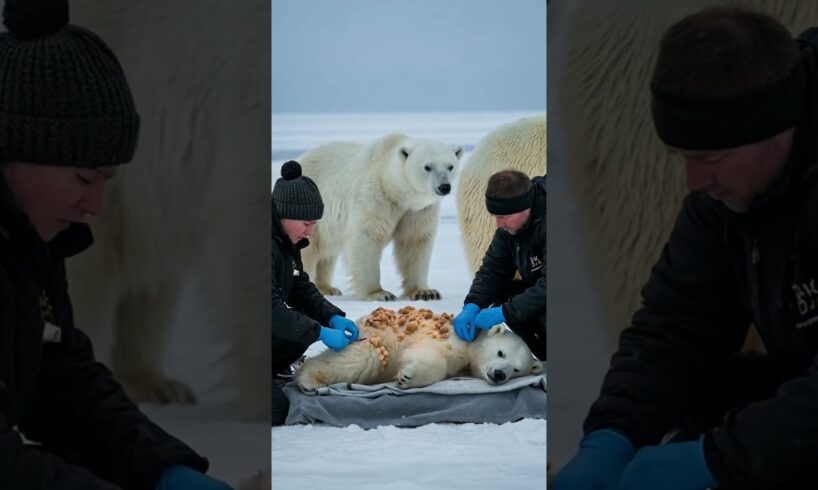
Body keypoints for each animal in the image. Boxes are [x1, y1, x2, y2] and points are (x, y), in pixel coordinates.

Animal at [294, 136, 462, 300]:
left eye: (450, 166)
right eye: (427, 167)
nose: (444, 187)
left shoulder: (418, 210)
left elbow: (415, 240)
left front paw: (425, 292)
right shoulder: (375, 196)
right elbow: (367, 236)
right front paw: (379, 293)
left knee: (326, 252)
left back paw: (327, 288)